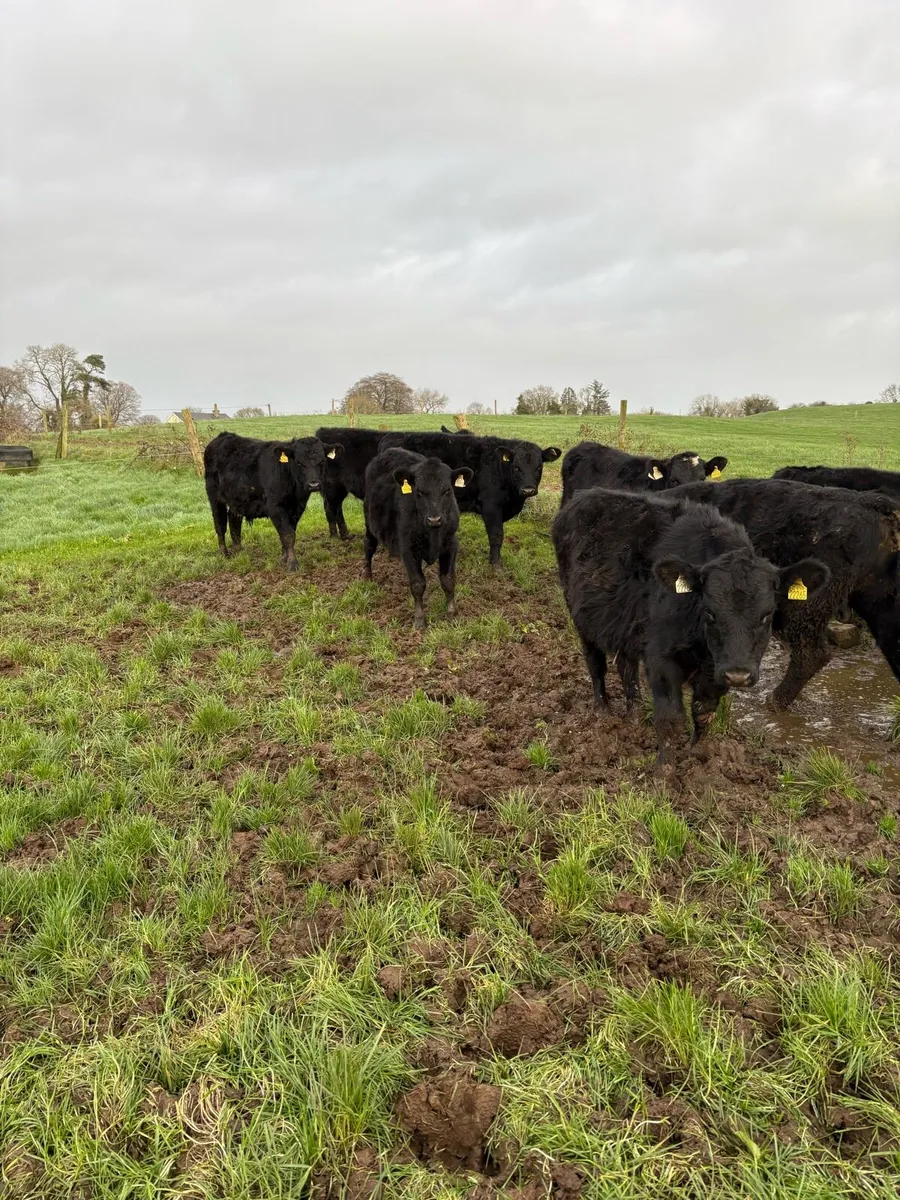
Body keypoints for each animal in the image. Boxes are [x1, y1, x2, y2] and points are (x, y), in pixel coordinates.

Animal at [203, 431, 342, 570]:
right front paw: (292, 564)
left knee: (234, 519)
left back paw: (238, 550)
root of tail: (223, 436)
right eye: (298, 462)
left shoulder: (297, 508)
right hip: (214, 496)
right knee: (220, 523)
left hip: (238, 499)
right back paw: (224, 553)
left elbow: (290, 533)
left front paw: (284, 558)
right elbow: (287, 535)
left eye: (322, 461)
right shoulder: (274, 507)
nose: (314, 485)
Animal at [363, 448, 473, 629]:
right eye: (420, 492)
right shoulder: (408, 549)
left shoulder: (451, 544)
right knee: (368, 546)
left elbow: (448, 580)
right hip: (369, 521)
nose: (434, 519)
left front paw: (452, 613)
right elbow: (417, 584)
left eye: (447, 490)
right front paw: (419, 619)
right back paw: (367, 575)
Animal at [379, 431, 561, 565]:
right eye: (516, 467)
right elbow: (496, 536)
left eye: (539, 467)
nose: (528, 489)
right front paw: (496, 564)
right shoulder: (491, 507)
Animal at [552, 489, 828, 763]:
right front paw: (665, 768)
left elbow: (703, 713)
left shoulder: (715, 670)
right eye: (710, 612)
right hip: (579, 613)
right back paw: (602, 711)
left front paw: (699, 755)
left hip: (624, 624)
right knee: (595, 663)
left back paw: (634, 714)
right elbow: (670, 717)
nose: (738, 675)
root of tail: (585, 495)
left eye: (767, 614)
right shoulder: (660, 658)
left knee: (626, 665)